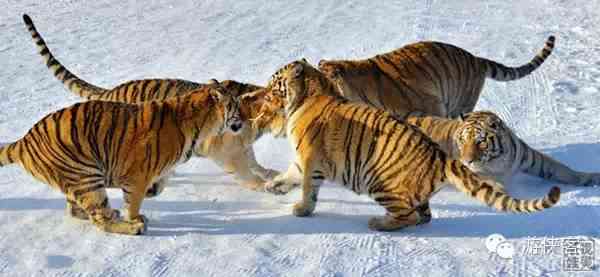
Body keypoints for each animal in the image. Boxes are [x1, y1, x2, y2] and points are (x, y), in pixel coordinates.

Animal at [1, 83, 244, 233]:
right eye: (236, 106)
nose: (243, 119)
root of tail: (23, 141)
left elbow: (160, 184)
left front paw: (152, 191)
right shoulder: (137, 175)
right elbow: (134, 202)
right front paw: (135, 218)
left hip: (76, 177)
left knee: (75, 209)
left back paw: (112, 213)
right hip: (87, 177)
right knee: (99, 218)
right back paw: (132, 228)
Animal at [22, 13, 286, 192]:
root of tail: (111, 92)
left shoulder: (243, 146)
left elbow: (254, 161)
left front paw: (270, 173)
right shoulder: (225, 151)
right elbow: (245, 171)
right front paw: (264, 185)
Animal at [260, 59, 560, 231]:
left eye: (274, 81)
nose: (263, 91)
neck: (310, 91)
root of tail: (441, 156)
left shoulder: (310, 159)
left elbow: (308, 188)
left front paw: (301, 209)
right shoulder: (303, 160)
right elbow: (291, 173)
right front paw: (273, 185)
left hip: (379, 181)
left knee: (410, 218)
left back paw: (378, 223)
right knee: (424, 215)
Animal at [406, 111, 600, 187]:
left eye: (480, 142)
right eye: (462, 140)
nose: (468, 160)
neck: (499, 161)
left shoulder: (532, 159)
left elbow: (563, 170)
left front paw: (591, 178)